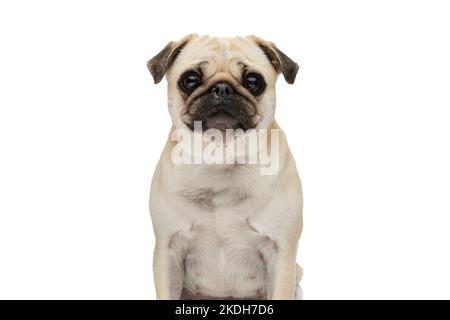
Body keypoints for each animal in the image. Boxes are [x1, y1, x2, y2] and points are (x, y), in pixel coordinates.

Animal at [148, 35, 302, 300]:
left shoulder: (281, 255)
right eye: (190, 80)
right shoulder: (168, 252)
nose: (222, 88)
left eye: (254, 82)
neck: (221, 156)